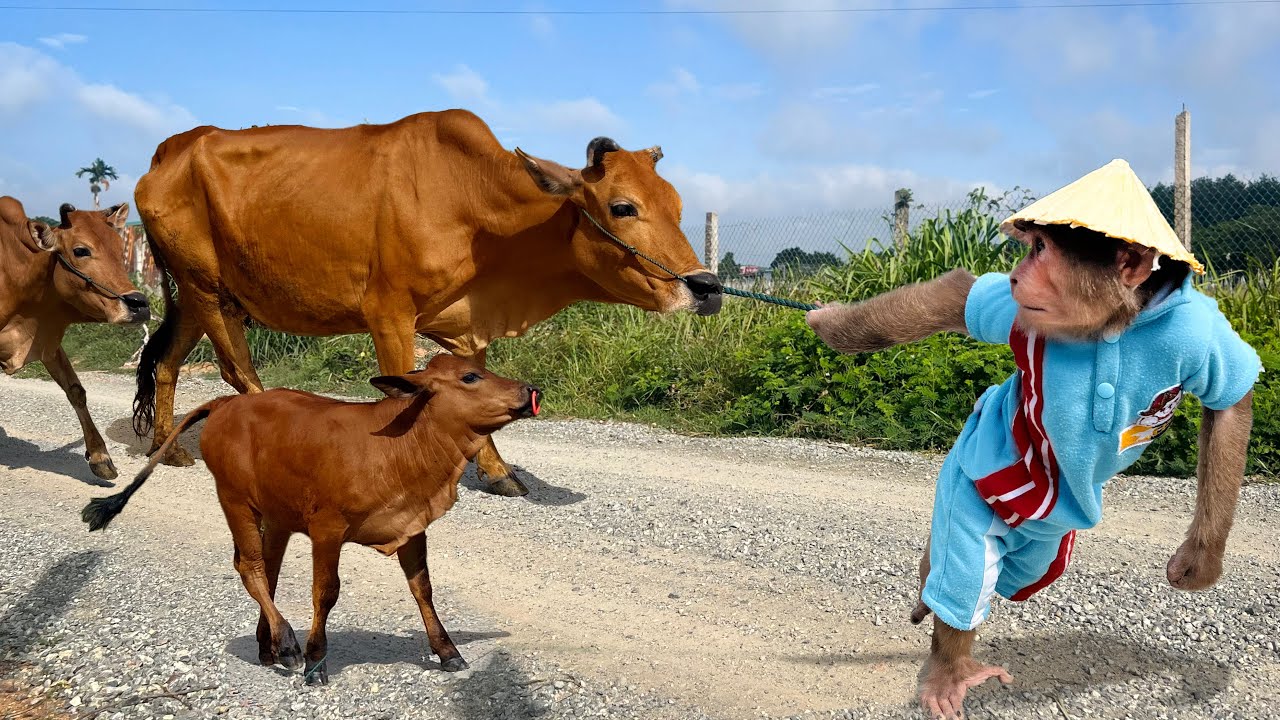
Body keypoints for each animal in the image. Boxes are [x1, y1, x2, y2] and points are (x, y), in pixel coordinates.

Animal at [0, 197, 151, 479]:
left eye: (120, 248)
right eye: (81, 250)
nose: (140, 305)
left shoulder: (47, 343)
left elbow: (76, 391)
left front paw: (100, 457)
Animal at [84, 353, 540, 683]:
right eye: (470, 377)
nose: (530, 390)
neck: (401, 446)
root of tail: (228, 401)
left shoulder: (413, 527)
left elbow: (422, 589)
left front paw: (448, 652)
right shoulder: (327, 530)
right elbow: (326, 592)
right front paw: (316, 661)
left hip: (277, 517)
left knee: (267, 572)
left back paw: (267, 647)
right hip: (235, 501)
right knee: (249, 567)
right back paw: (287, 645)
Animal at [131, 109, 723, 497]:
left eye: (678, 206)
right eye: (623, 206)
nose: (708, 287)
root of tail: (171, 148)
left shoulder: (468, 328)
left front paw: (498, 472)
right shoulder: (389, 313)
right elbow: (401, 388)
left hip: (197, 296)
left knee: (167, 364)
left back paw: (169, 447)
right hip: (208, 291)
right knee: (238, 370)